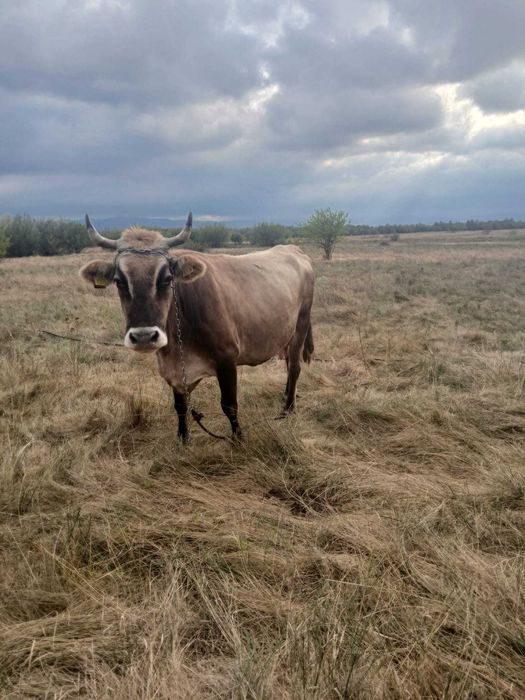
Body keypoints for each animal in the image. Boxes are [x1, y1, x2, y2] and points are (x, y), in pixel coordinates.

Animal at [79, 213, 314, 442]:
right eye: (119, 281)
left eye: (167, 278)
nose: (144, 336)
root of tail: (294, 250)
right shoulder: (175, 371)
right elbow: (181, 407)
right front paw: (183, 440)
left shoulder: (227, 359)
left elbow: (229, 405)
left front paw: (238, 439)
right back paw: (285, 398)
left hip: (300, 327)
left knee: (294, 367)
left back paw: (287, 409)